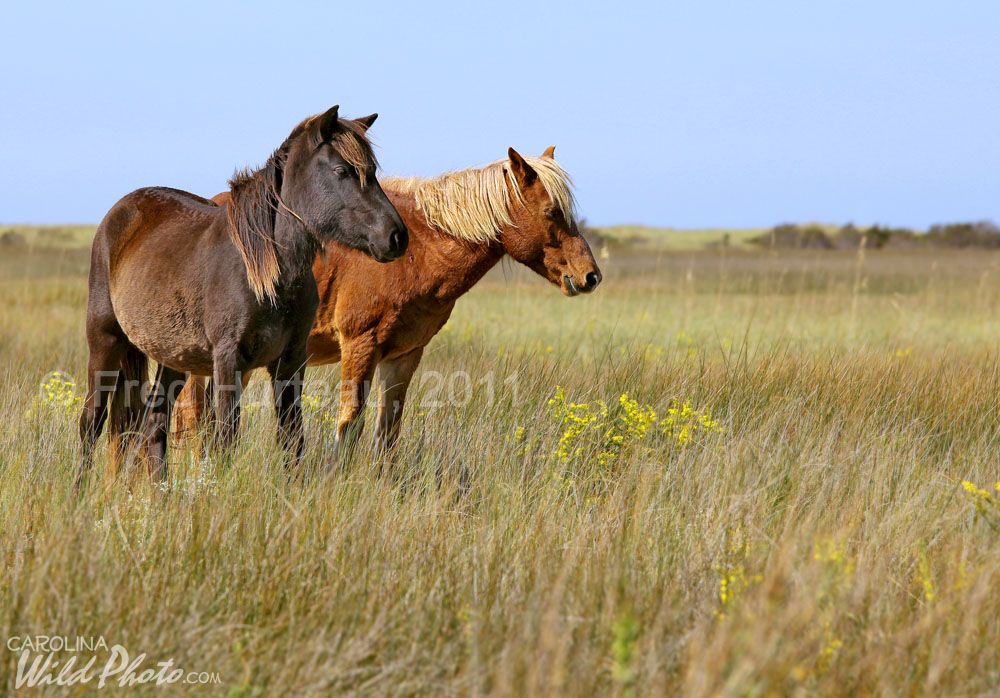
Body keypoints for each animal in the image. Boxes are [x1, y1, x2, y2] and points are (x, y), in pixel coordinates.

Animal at [76, 106, 406, 484]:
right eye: (342, 171)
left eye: (373, 171)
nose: (397, 236)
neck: (267, 275)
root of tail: (120, 213)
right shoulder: (228, 360)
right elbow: (224, 439)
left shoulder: (290, 361)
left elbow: (292, 439)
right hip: (105, 342)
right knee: (92, 421)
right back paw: (79, 491)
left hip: (172, 358)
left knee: (154, 425)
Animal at [174, 144, 600, 454]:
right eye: (551, 211)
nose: (590, 276)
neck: (418, 252)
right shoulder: (360, 346)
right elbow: (350, 425)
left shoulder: (404, 356)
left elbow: (388, 431)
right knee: (191, 418)